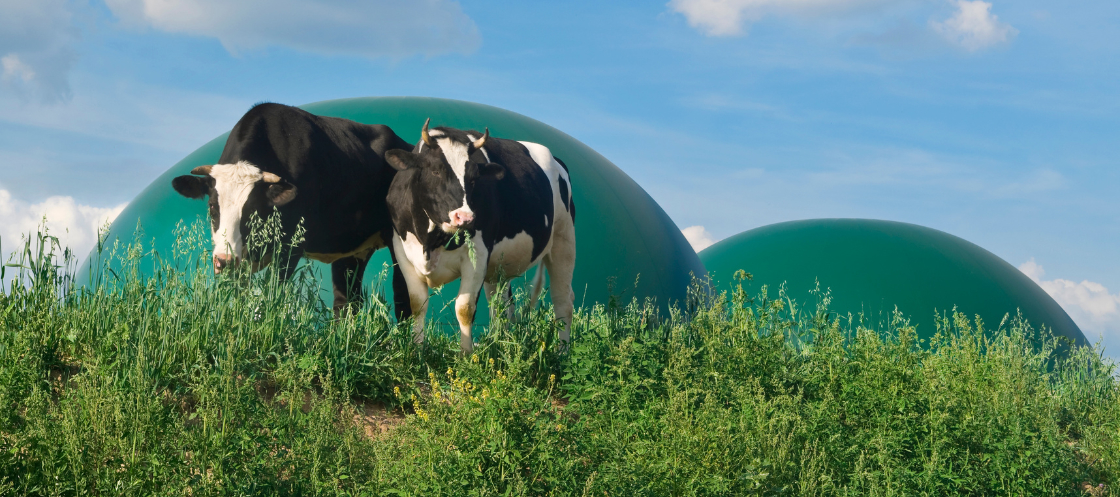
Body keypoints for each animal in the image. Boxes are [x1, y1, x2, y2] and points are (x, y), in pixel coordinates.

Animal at [172, 102, 418, 313]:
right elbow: (239, 299)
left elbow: (270, 296)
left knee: (402, 294)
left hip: (400, 240)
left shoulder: (290, 247)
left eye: (253, 211)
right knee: (346, 301)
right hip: (350, 247)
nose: (224, 260)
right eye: (212, 206)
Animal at [385, 120, 577, 353]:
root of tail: (558, 162)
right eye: (435, 170)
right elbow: (417, 304)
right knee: (501, 305)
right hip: (499, 267)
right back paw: (499, 345)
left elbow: (465, 308)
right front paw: (417, 350)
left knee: (562, 300)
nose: (465, 217)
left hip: (564, 240)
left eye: (474, 178)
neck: (431, 241)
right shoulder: (402, 252)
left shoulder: (477, 254)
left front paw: (466, 355)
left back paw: (563, 352)